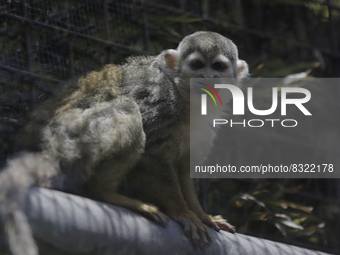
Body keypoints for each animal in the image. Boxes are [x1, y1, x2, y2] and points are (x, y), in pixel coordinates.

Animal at [0, 30, 250, 254]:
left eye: (218, 67)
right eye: (197, 65)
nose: (207, 78)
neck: (184, 97)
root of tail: (46, 149)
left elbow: (183, 166)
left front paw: (202, 214)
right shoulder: (162, 103)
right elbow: (152, 155)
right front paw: (182, 213)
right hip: (71, 137)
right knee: (128, 109)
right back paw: (104, 192)